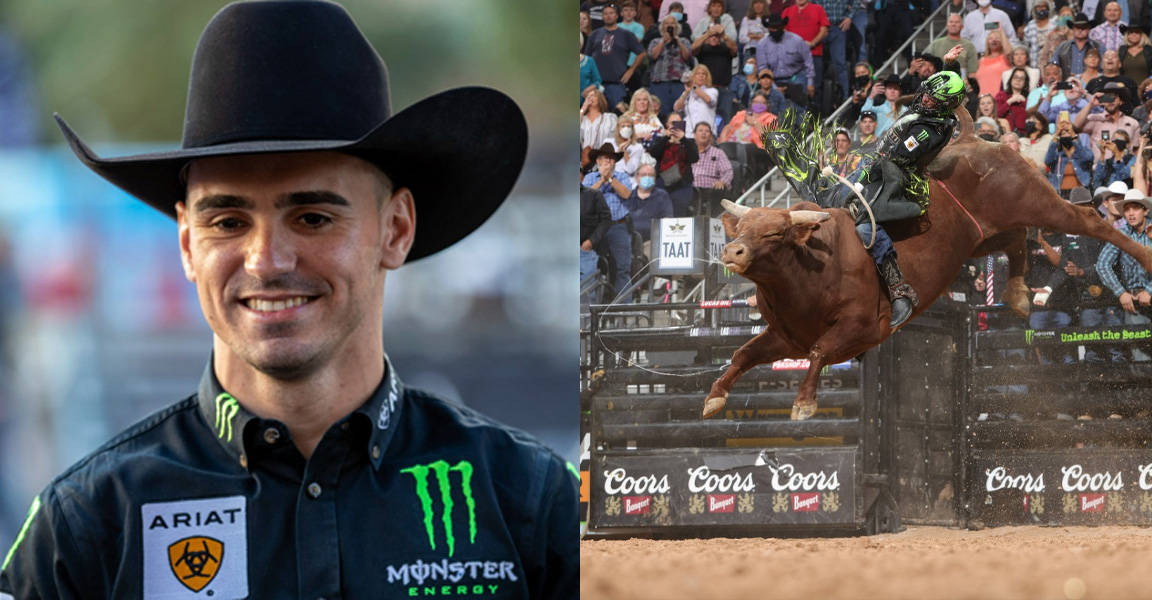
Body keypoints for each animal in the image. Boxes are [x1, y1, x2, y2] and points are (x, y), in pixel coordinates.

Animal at [700, 106, 1152, 421]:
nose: (732, 252)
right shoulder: (785, 337)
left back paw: (1141, 254)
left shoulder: (864, 327)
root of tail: (972, 139)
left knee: (1088, 221)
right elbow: (743, 354)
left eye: (775, 233)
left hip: (1034, 199)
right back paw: (1019, 295)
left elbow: (819, 351)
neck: (812, 270)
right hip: (979, 238)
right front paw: (714, 397)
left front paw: (804, 404)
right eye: (741, 228)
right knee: (1016, 241)